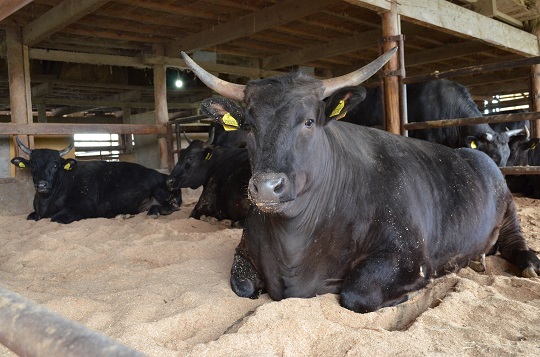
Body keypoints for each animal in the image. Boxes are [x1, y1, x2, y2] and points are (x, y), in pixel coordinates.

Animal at [11, 138, 181, 224]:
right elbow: (30, 217)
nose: (42, 184)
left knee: (170, 207)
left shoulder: (83, 206)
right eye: (33, 165)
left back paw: (153, 212)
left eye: (55, 165)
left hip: (161, 193)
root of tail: (165, 175)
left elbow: (55, 218)